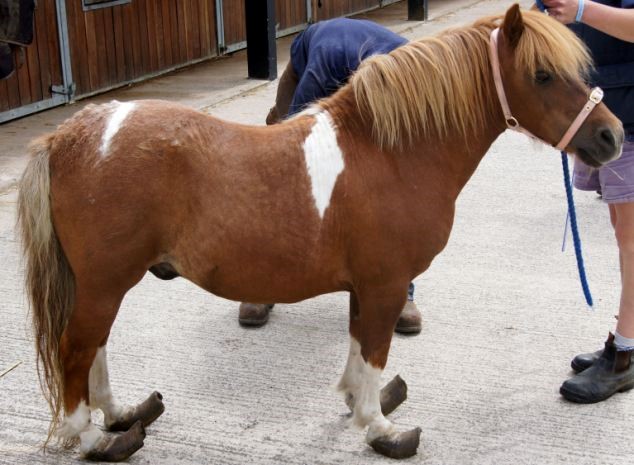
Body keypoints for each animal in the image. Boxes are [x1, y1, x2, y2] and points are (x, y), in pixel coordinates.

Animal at [16, 4, 624, 460]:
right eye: (542, 75)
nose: (611, 136)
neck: (390, 151)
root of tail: (69, 136)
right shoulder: (383, 284)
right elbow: (374, 353)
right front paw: (379, 428)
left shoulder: (368, 288)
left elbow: (360, 353)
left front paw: (360, 405)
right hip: (104, 282)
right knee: (77, 349)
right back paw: (94, 438)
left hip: (105, 283)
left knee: (94, 348)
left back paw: (121, 414)